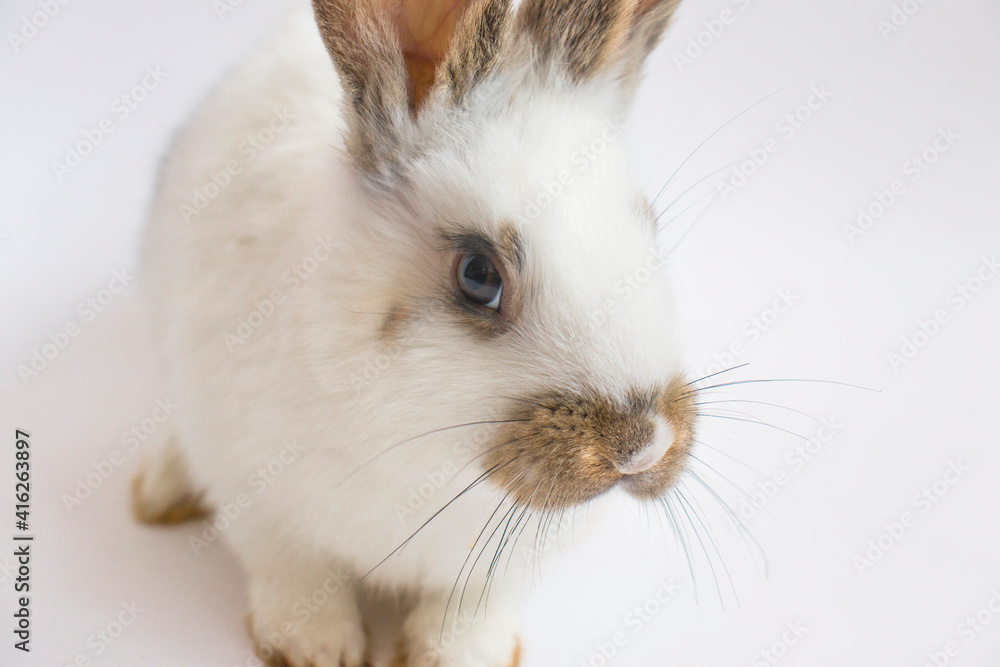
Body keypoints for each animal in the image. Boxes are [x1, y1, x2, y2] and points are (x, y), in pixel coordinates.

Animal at [133, 0, 695, 665]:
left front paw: (456, 654)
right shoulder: (258, 503)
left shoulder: (499, 570)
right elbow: (298, 580)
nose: (645, 445)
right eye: (478, 275)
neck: (421, 444)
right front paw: (317, 649)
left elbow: (468, 609)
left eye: (649, 230)